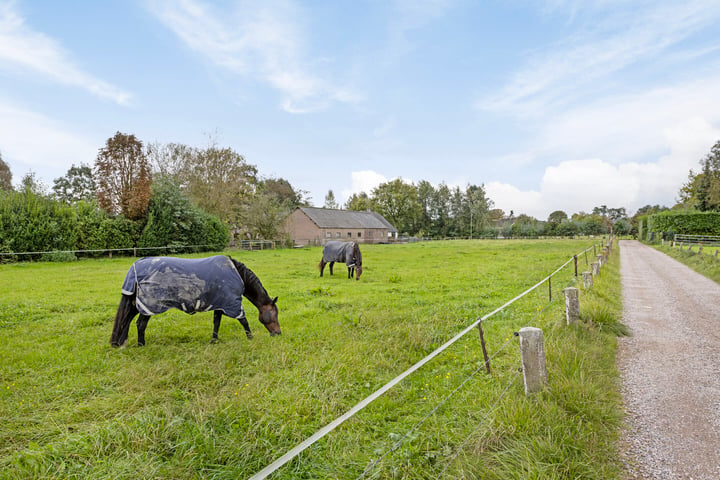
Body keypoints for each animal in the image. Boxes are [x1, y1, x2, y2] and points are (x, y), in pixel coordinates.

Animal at [109, 256, 278, 346]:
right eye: (275, 314)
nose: (278, 333)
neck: (237, 274)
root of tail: (135, 267)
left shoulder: (220, 303)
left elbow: (216, 322)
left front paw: (214, 340)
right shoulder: (232, 304)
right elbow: (244, 321)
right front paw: (250, 338)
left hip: (136, 305)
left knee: (126, 320)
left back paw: (121, 342)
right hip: (148, 306)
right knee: (140, 324)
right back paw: (141, 345)